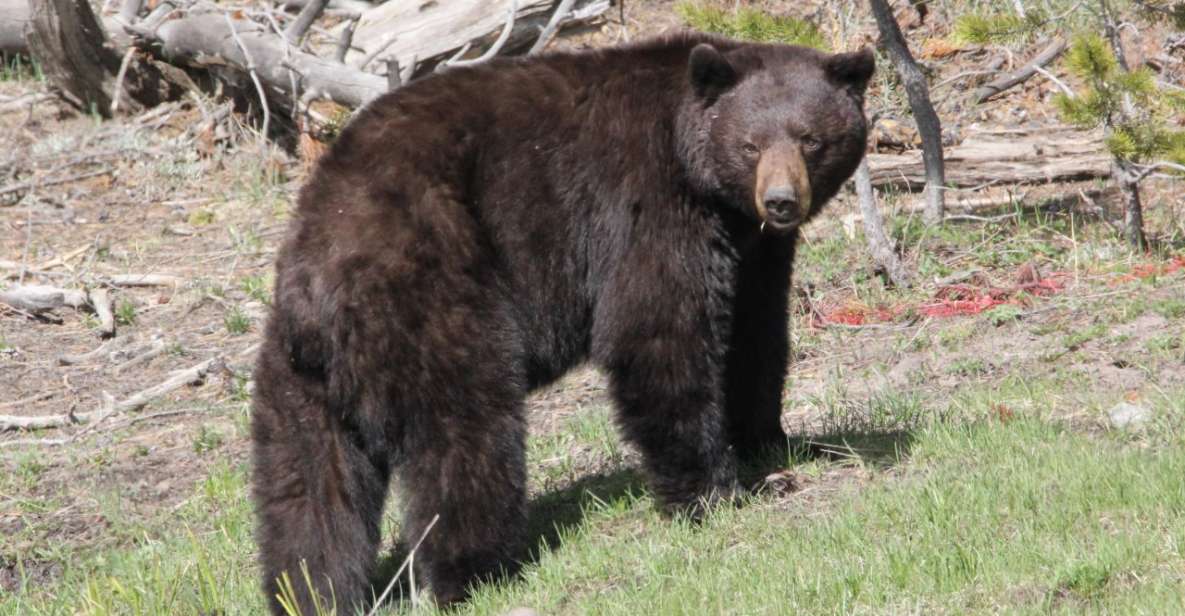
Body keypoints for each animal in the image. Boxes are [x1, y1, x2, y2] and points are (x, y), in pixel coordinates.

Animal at [252, 32, 872, 611]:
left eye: (811, 139)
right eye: (749, 145)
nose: (781, 201)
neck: (697, 170)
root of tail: (313, 285)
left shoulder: (754, 252)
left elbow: (755, 334)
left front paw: (771, 444)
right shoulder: (646, 207)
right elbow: (656, 333)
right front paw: (711, 492)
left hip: (295, 385)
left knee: (308, 493)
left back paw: (308, 593)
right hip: (432, 296)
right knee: (464, 436)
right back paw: (476, 573)